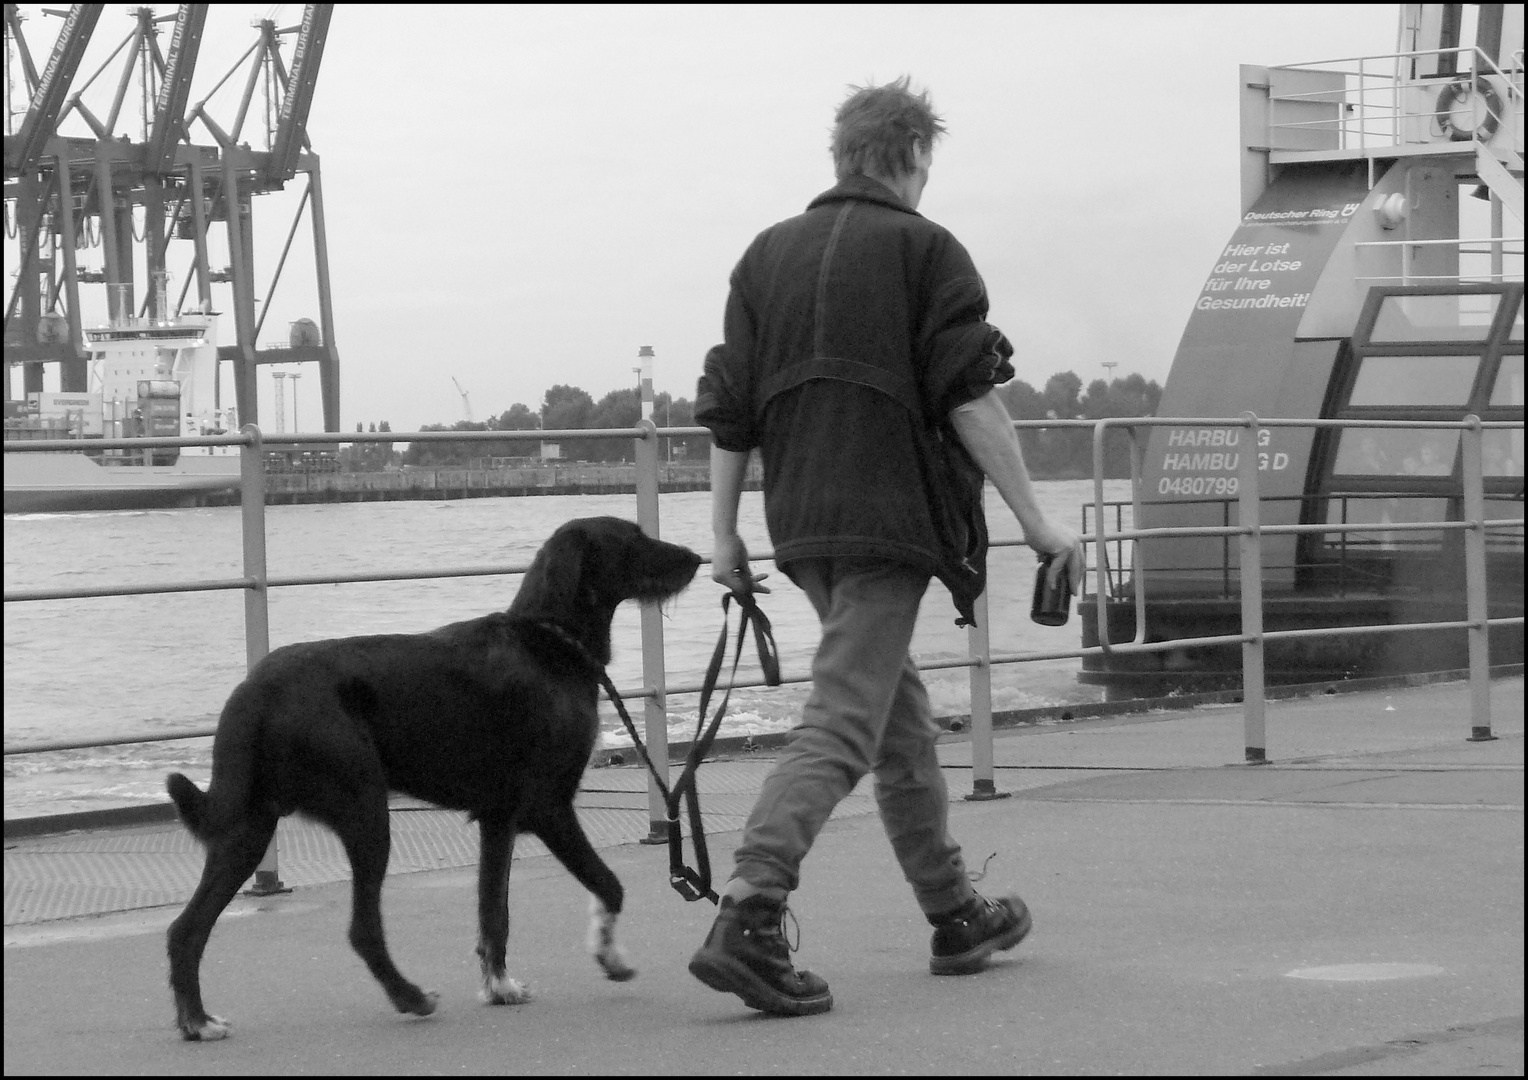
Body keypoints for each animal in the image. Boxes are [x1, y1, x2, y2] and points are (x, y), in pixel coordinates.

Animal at [164, 519, 699, 1044]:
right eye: (632, 538)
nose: (696, 558)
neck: (548, 641)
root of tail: (254, 693)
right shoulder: (548, 807)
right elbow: (608, 884)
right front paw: (610, 956)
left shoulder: (499, 818)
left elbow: (494, 912)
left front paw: (500, 987)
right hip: (365, 812)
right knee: (362, 928)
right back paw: (410, 997)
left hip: (248, 828)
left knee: (186, 929)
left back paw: (197, 1021)